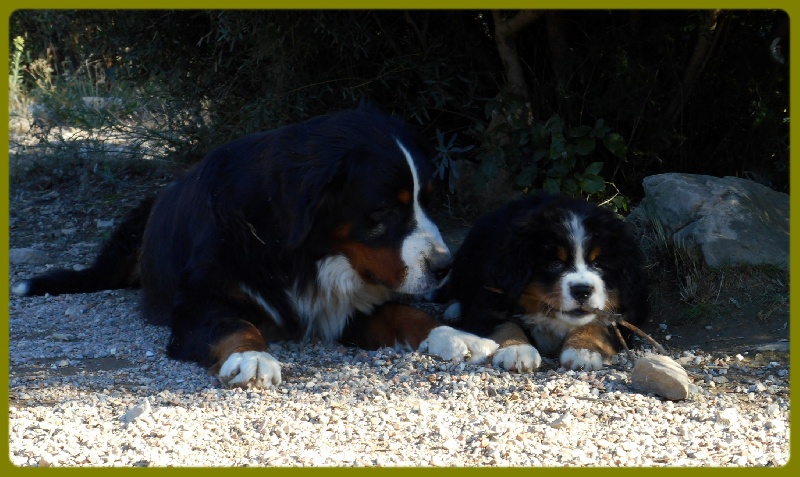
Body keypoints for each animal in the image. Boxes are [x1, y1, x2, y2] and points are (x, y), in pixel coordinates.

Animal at [12, 107, 496, 386]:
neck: (300, 255)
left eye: (427, 200)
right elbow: (233, 324)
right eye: (381, 212)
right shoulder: (201, 304)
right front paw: (252, 357)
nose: (444, 266)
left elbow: (404, 313)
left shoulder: (346, 304)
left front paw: (456, 335)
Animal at [438, 193, 648, 372]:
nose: (582, 290)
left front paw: (583, 350)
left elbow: (598, 324)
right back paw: (453, 310)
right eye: (555, 264)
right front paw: (516, 349)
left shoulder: (625, 313)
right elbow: (504, 324)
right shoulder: (491, 298)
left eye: (598, 264)